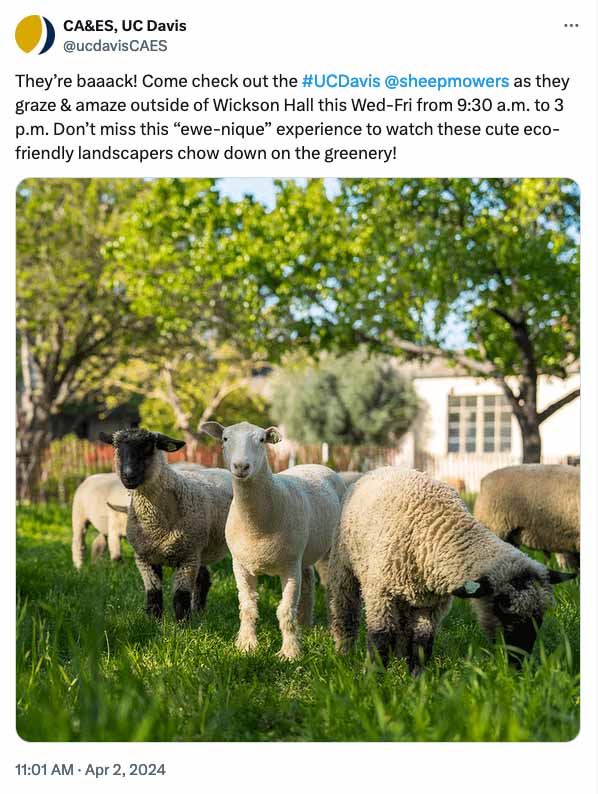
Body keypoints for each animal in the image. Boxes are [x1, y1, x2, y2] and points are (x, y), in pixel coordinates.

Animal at [71, 462, 206, 569]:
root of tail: (87, 479)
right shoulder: (115, 528)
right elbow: (117, 556)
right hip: (79, 514)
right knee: (79, 542)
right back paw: (79, 567)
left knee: (98, 543)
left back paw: (95, 565)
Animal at [100, 428, 232, 621]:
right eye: (116, 447)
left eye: (148, 447)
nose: (128, 476)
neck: (155, 526)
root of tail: (224, 470)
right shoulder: (145, 557)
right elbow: (153, 593)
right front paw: (154, 622)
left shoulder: (187, 557)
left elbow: (180, 597)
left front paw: (182, 625)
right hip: (199, 548)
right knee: (203, 578)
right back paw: (198, 611)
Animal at [200, 421, 346, 659]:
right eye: (225, 439)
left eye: (261, 440)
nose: (241, 466)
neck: (256, 528)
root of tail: (319, 464)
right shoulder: (240, 565)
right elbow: (247, 607)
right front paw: (247, 645)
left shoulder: (289, 567)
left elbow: (285, 610)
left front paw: (290, 652)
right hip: (303, 553)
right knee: (308, 581)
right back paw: (305, 624)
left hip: (329, 548)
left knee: (330, 585)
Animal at [327, 467, 576, 674]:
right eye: (503, 608)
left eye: (540, 616)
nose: (519, 665)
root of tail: (379, 469)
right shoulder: (381, 593)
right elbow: (380, 638)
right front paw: (373, 679)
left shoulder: (432, 605)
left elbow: (422, 644)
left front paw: (417, 681)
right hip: (343, 569)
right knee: (346, 615)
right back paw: (343, 655)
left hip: (410, 597)